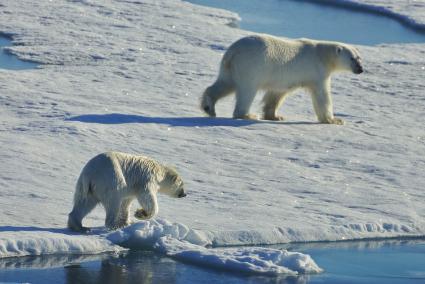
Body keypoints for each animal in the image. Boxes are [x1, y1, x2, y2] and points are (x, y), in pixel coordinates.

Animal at [200, 35, 362, 123]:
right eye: (352, 58)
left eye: (359, 58)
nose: (361, 69)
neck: (322, 55)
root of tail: (233, 51)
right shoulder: (317, 72)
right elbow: (322, 96)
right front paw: (335, 120)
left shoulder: (283, 79)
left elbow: (276, 94)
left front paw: (275, 116)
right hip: (252, 66)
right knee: (247, 90)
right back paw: (248, 115)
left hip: (229, 68)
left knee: (225, 84)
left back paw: (209, 107)